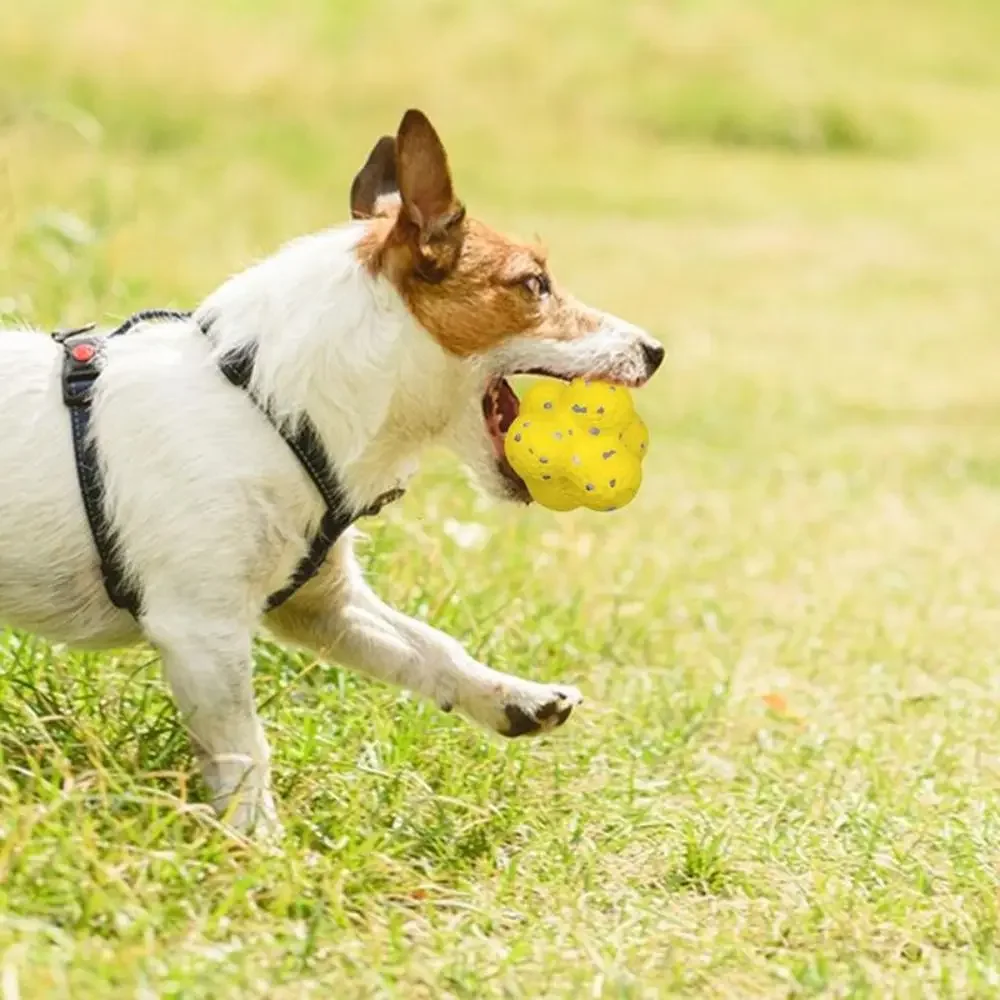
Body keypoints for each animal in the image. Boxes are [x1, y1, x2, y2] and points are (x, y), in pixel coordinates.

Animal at [0, 109, 664, 832]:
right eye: (534, 284)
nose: (656, 349)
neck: (268, 407)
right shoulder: (202, 630)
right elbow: (244, 749)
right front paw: (258, 842)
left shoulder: (324, 606)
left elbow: (430, 648)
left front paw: (511, 696)